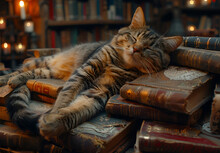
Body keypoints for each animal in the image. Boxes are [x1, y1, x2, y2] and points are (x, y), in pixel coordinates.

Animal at [1, 6, 182, 139]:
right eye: (134, 38)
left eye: (149, 48)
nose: (136, 49)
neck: (121, 65)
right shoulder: (84, 71)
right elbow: (65, 96)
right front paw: (54, 111)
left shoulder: (99, 92)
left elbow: (76, 111)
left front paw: (53, 123)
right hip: (45, 60)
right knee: (20, 69)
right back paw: (7, 80)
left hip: (49, 72)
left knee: (34, 73)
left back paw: (16, 81)